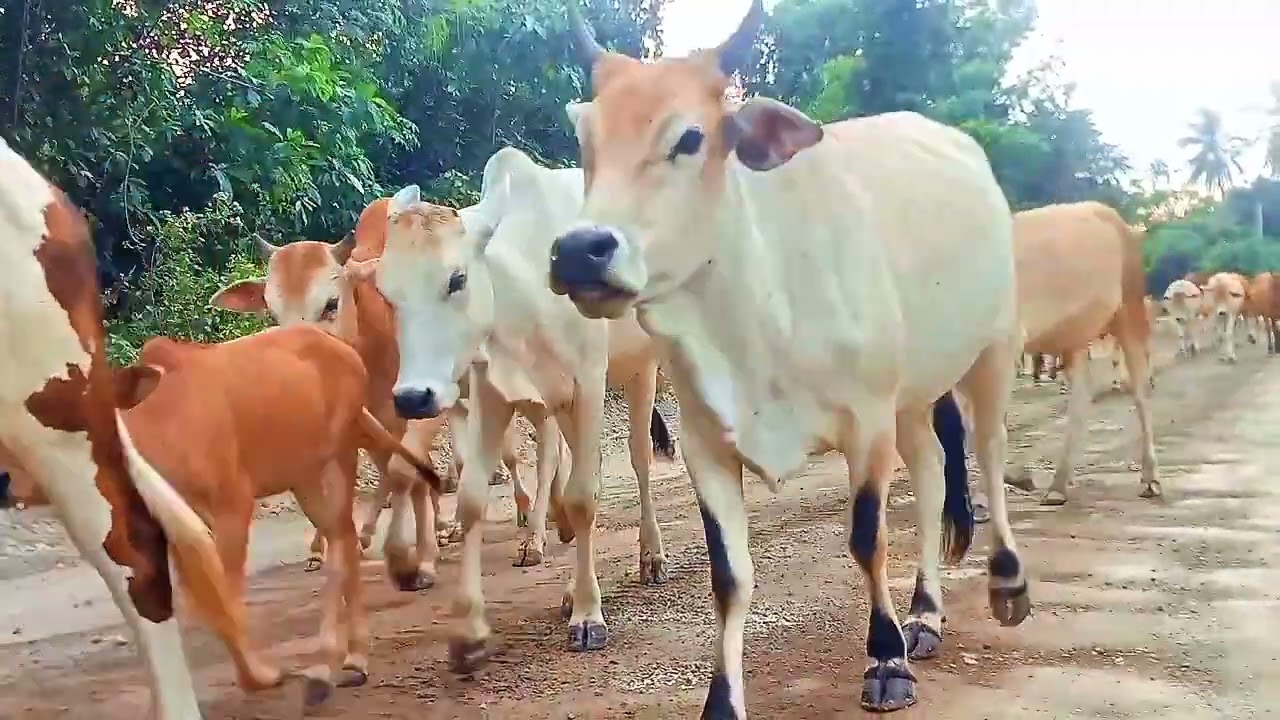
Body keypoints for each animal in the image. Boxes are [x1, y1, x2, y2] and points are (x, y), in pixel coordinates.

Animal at [126, 325, 443, 707]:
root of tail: (342, 349)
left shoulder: (233, 502)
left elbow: (225, 595)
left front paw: (260, 676)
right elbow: (204, 598)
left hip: (339, 456)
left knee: (346, 535)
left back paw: (335, 663)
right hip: (306, 476)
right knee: (346, 534)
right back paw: (351, 658)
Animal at [355, 145, 678, 672]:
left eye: (457, 279)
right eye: (387, 291)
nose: (413, 397)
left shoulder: (589, 380)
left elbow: (584, 497)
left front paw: (588, 615)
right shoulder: (491, 393)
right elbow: (472, 500)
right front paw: (469, 631)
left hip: (643, 366)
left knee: (640, 459)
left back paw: (651, 556)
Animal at [545, 2, 1031, 713]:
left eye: (690, 138)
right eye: (586, 138)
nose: (580, 251)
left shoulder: (866, 421)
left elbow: (867, 538)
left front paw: (885, 660)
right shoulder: (705, 443)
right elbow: (729, 575)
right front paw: (722, 700)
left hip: (991, 347)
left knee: (990, 451)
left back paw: (1006, 583)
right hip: (912, 395)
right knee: (934, 470)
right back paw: (925, 615)